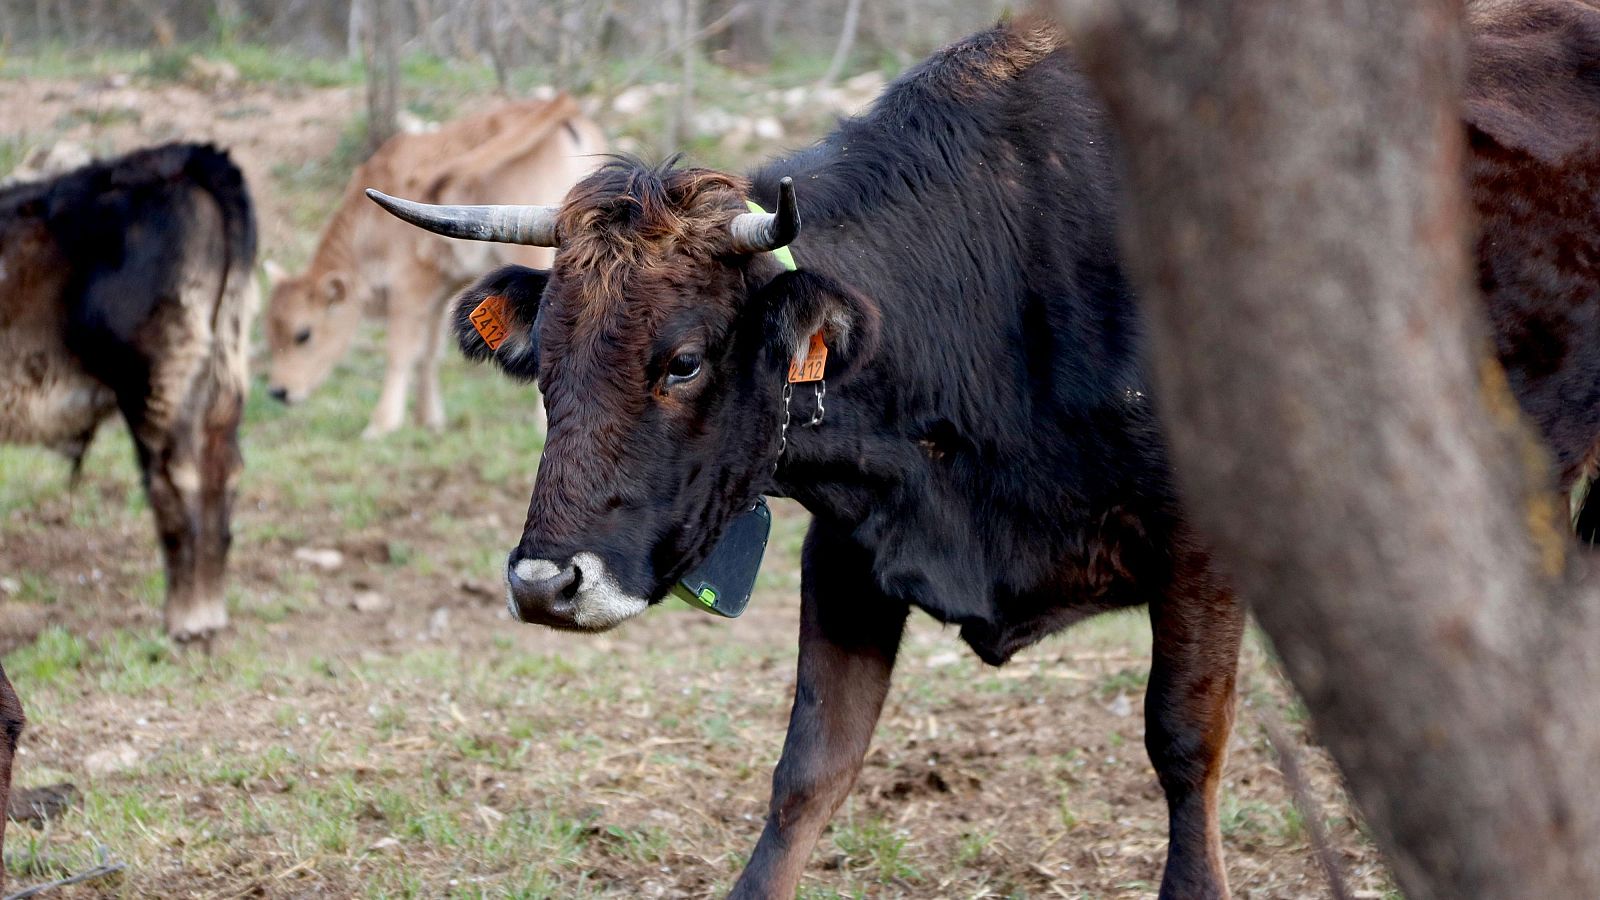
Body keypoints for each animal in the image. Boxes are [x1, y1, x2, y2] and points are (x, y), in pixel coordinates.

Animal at [0, 142, 256, 876]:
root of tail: (184, 158)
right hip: (220, 366)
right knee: (221, 478)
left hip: (156, 379)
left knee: (181, 485)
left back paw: (188, 617)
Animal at [264, 96, 604, 438]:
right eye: (270, 330)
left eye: (303, 334)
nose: (279, 391)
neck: (367, 228)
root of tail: (562, 108)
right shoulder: (442, 291)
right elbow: (429, 351)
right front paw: (429, 419)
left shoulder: (408, 287)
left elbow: (400, 352)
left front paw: (381, 423)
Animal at [367, 6, 1600, 898]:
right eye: (546, 368)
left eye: (681, 360)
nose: (544, 582)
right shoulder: (852, 549)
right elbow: (809, 770)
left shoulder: (1205, 545)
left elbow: (1182, 742)